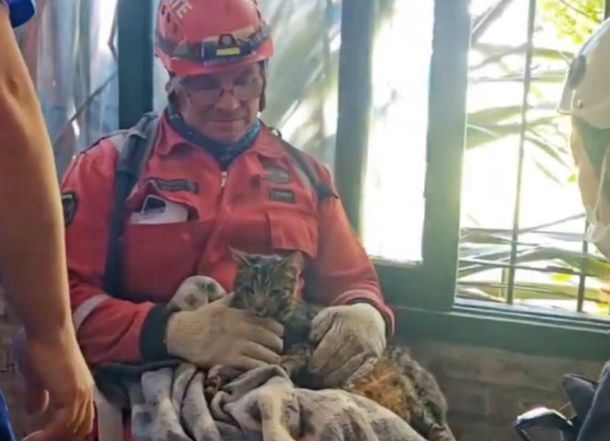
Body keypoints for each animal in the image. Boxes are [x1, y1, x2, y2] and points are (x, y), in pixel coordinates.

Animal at [226, 248, 454, 440]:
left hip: (419, 402)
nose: (259, 308)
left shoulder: (307, 344)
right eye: (249, 290)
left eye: (275, 292)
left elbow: (289, 357)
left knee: (439, 431)